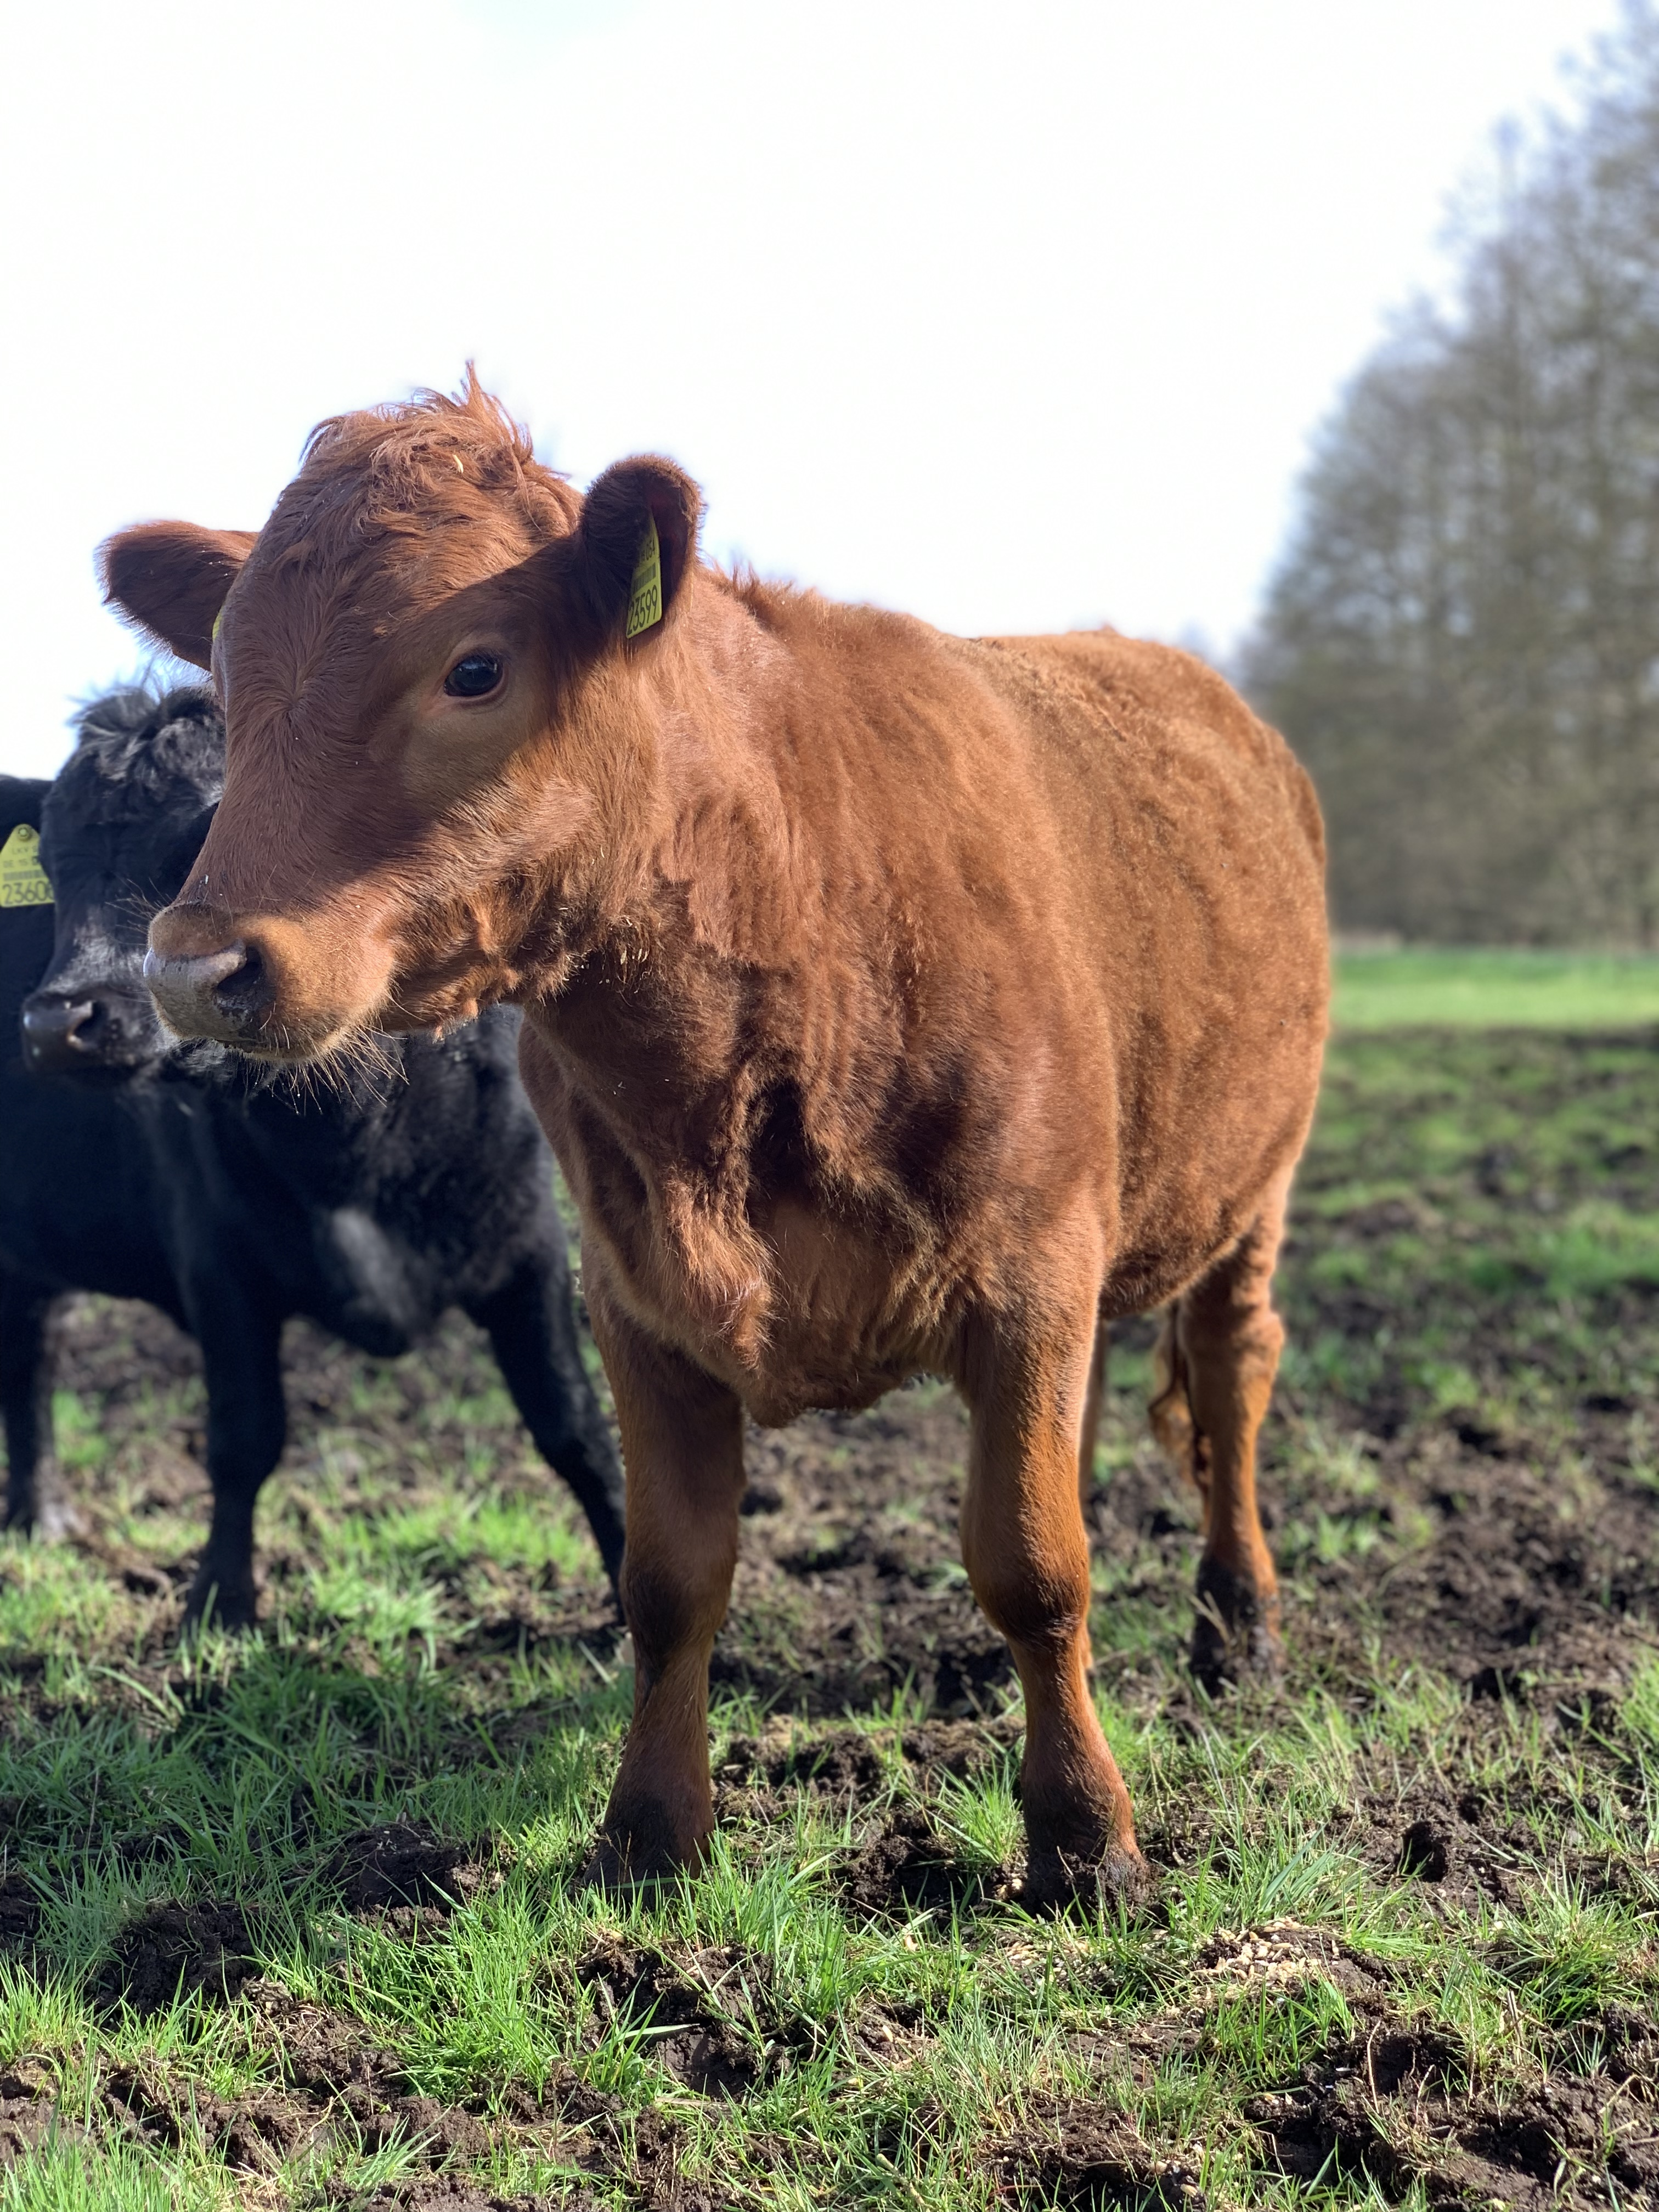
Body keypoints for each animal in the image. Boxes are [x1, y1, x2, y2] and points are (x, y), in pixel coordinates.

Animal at [4, 684, 626, 1626]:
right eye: (53, 862)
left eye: (207, 836)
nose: (58, 1022)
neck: (354, 1151)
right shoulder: (218, 1267)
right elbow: (243, 1438)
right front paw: (220, 1600)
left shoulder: (530, 1246)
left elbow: (574, 1426)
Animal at [102, 377, 1329, 1904]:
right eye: (224, 683)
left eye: (473, 668)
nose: (193, 966)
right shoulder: (636, 1300)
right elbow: (670, 1578)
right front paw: (650, 1832)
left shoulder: (1032, 1267)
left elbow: (1035, 1566)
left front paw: (1085, 1837)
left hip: (1253, 1193)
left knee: (1231, 1373)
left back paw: (1239, 1628)